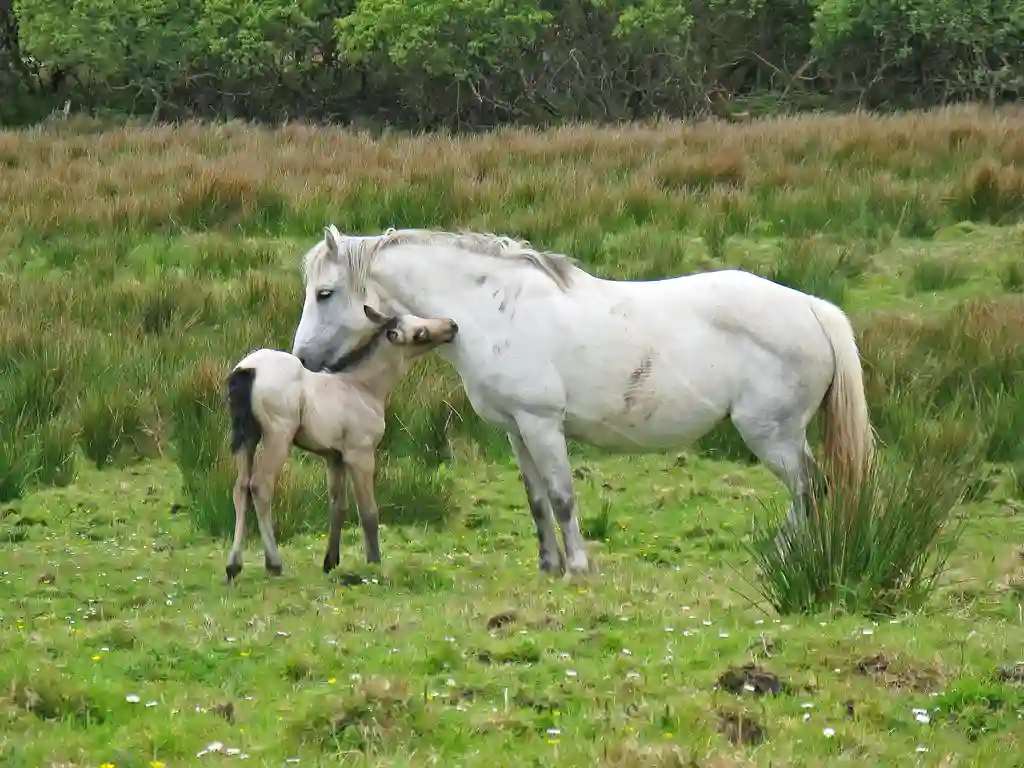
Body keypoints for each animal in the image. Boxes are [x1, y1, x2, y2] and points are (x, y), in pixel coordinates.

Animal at [223, 305, 459, 583]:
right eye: (420, 334)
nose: (452, 325)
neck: (362, 387)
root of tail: (248, 370)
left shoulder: (333, 457)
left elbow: (338, 506)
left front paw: (330, 562)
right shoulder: (360, 454)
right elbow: (368, 511)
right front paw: (374, 562)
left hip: (246, 437)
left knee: (240, 488)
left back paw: (233, 566)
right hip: (277, 435)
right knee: (260, 486)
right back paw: (273, 563)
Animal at [290, 226, 874, 577]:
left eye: (324, 294)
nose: (303, 359)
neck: (493, 308)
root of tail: (812, 307)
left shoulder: (542, 424)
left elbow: (563, 496)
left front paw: (577, 566)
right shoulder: (516, 430)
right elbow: (537, 500)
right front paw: (549, 564)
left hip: (773, 435)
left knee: (809, 487)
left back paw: (784, 554)